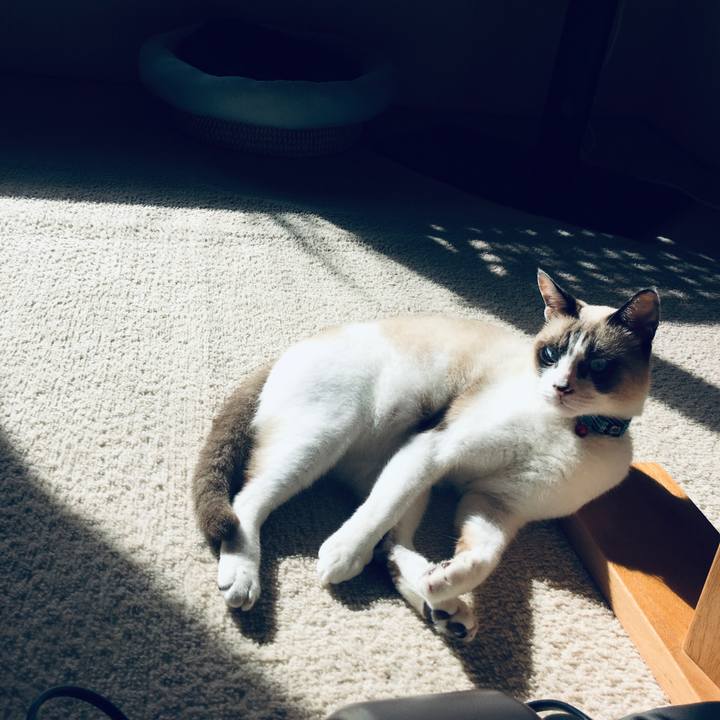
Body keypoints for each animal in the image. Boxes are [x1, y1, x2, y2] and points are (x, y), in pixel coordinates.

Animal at [192, 269, 659, 641]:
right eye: (550, 354)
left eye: (597, 367)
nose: (560, 387)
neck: (570, 428)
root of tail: (293, 347)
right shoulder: (436, 449)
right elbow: (372, 518)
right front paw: (340, 556)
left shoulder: (494, 504)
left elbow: (484, 557)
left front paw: (447, 581)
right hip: (330, 440)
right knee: (248, 501)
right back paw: (244, 578)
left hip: (407, 476)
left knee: (390, 547)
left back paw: (445, 608)